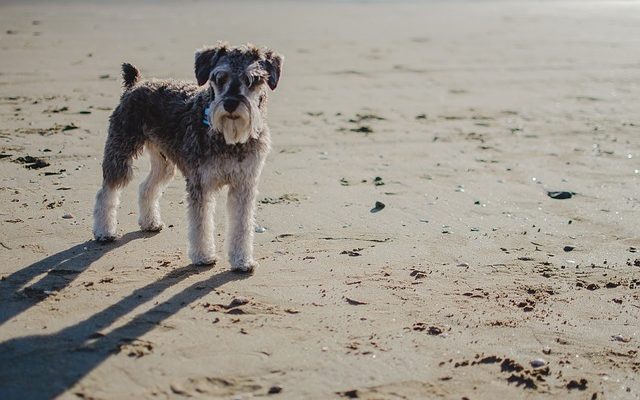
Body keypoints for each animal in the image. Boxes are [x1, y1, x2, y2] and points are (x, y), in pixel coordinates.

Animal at [92, 43, 282, 274]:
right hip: (120, 151)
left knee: (146, 187)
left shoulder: (243, 185)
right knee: (107, 191)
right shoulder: (201, 183)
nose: (230, 104)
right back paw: (104, 232)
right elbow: (200, 224)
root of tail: (135, 84)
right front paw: (203, 256)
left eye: (252, 80)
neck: (229, 138)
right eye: (220, 78)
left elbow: (242, 225)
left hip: (164, 163)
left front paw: (242, 261)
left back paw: (150, 222)